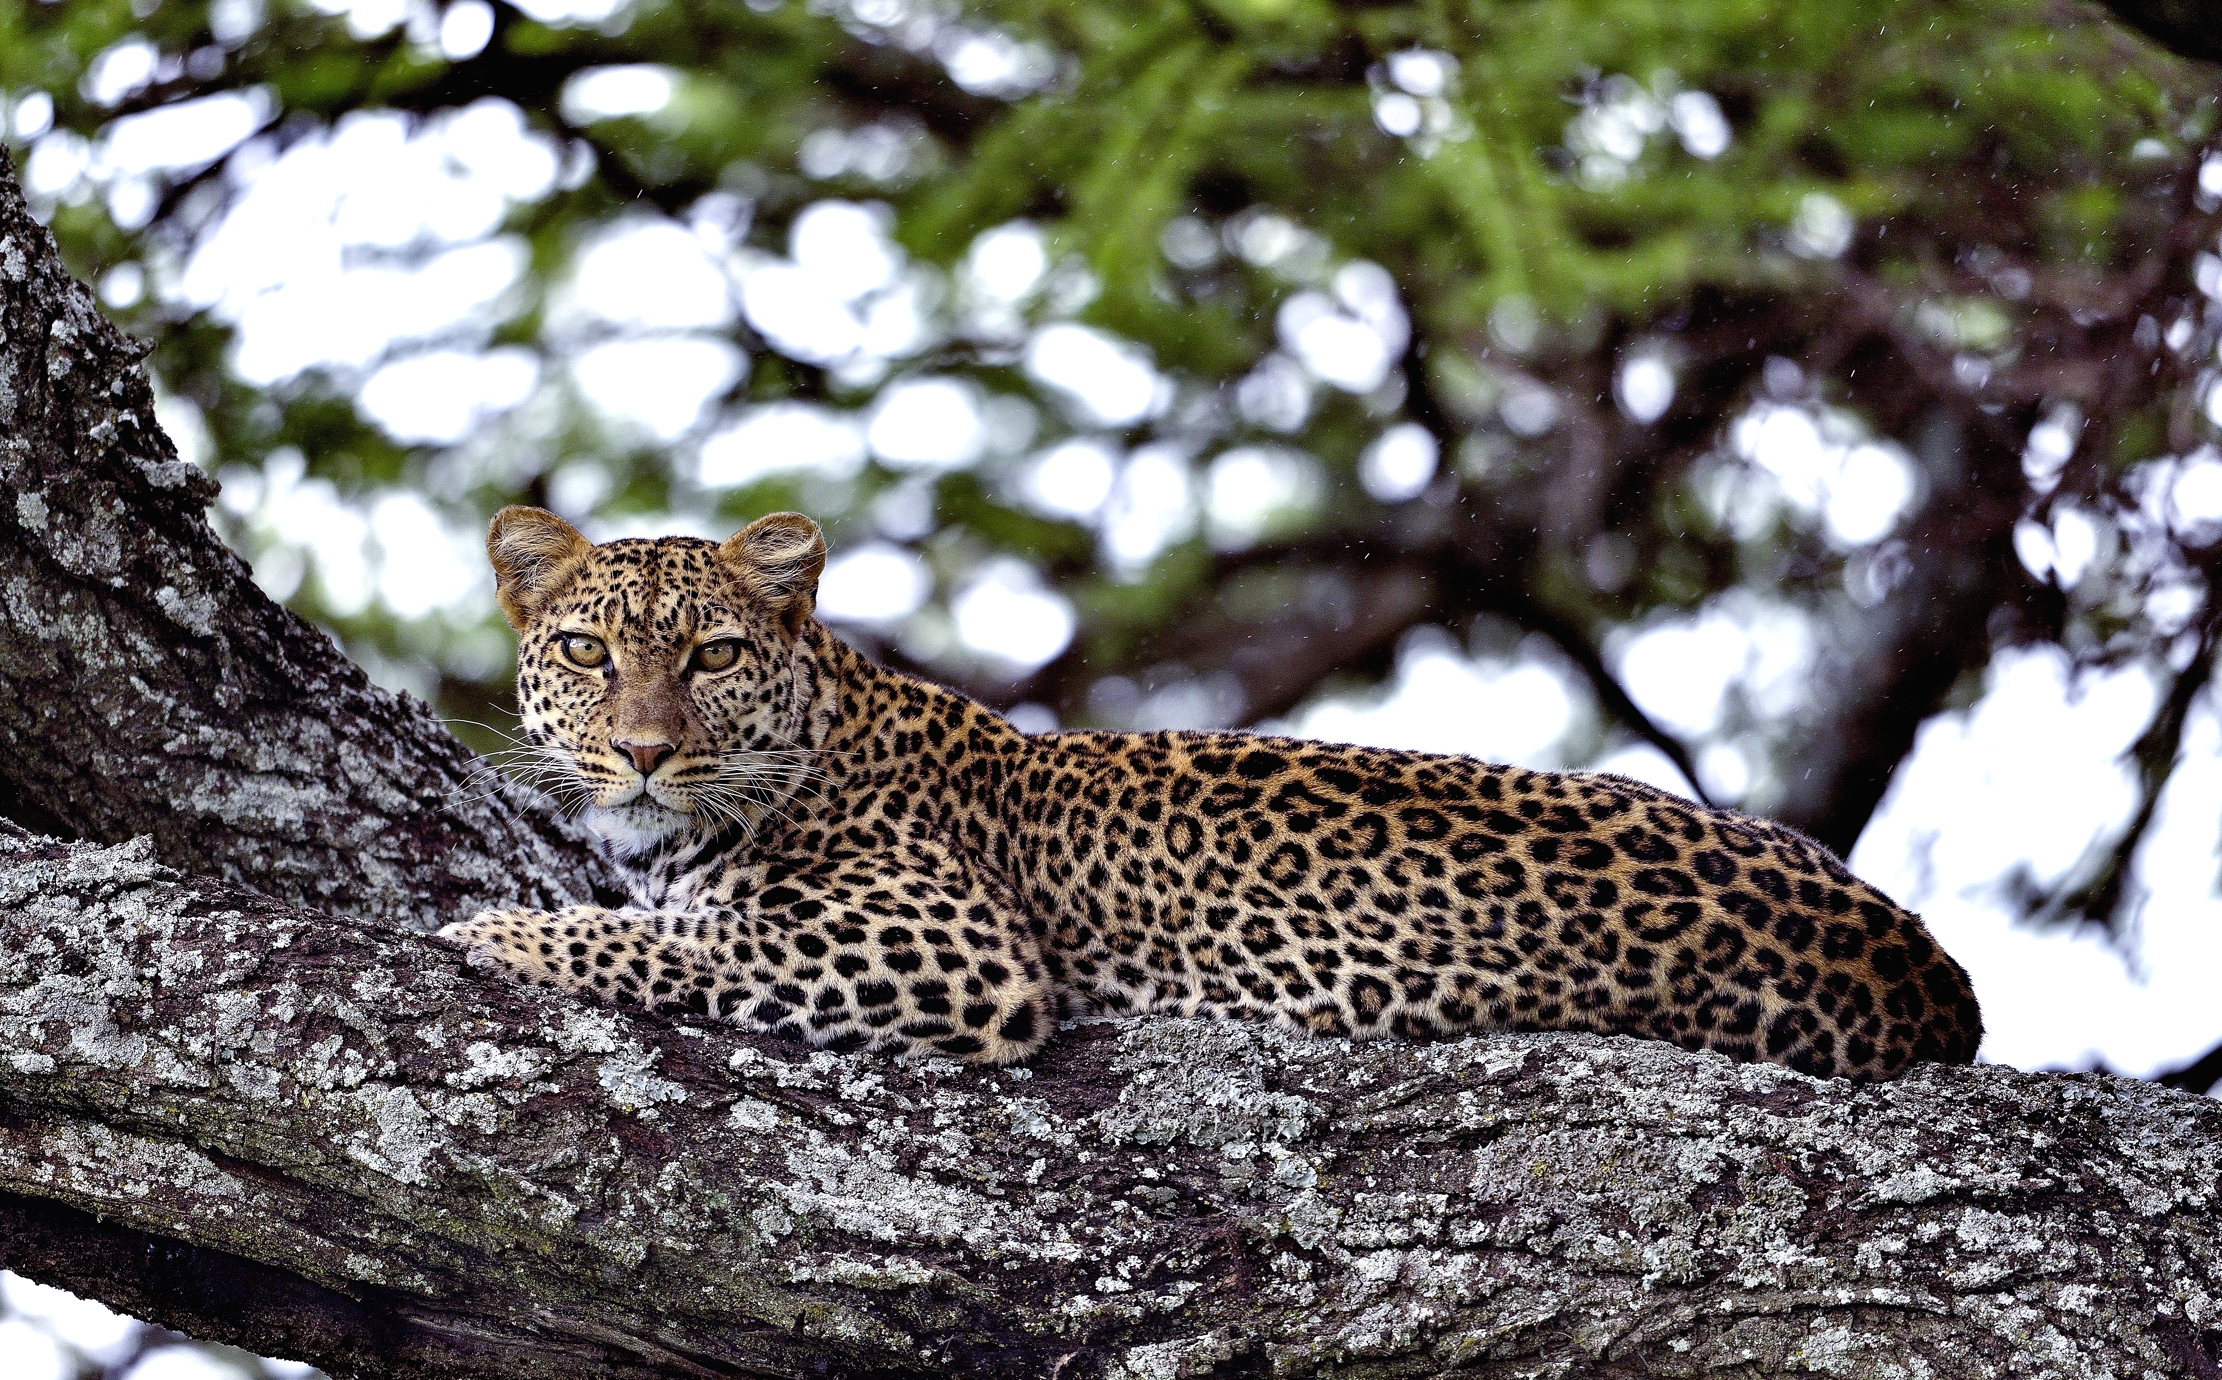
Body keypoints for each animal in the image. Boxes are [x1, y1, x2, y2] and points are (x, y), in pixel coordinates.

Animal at [436, 506, 1983, 1080]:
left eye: (709, 656)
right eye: (585, 652)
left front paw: (491, 931)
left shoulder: (951, 945)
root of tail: (1927, 974)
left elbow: (678, 942)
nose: (643, 751)